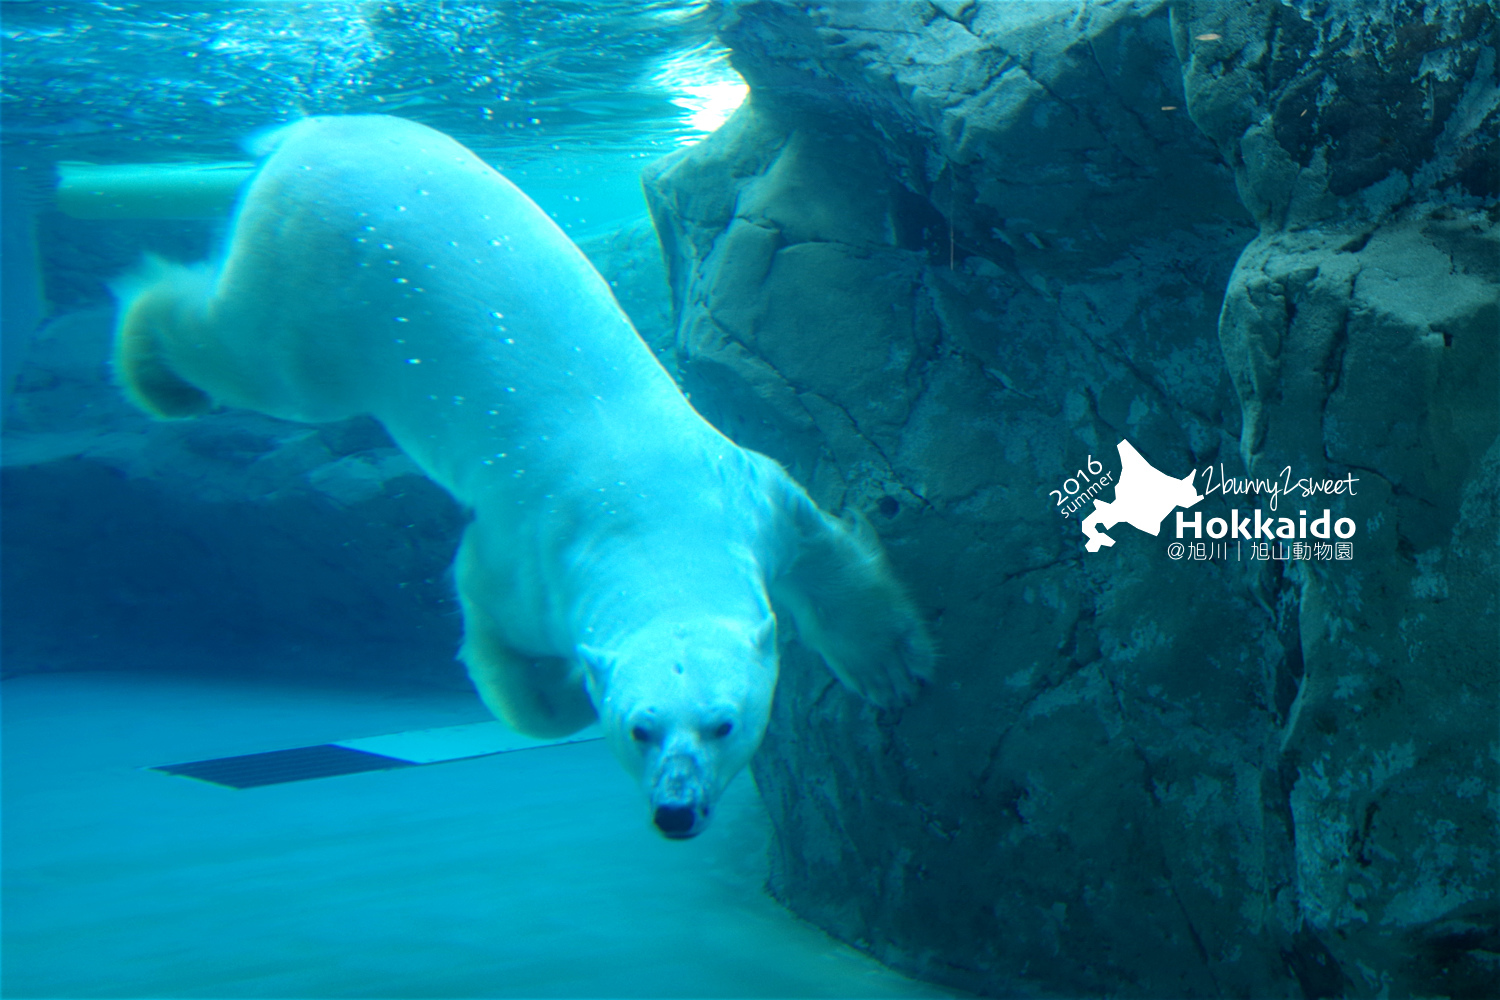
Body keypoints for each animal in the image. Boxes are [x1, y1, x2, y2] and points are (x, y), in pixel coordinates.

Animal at [111, 115, 933, 838]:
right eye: (639, 729)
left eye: (722, 724)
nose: (676, 810)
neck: (655, 518)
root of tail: (306, 135)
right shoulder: (531, 554)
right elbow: (492, 619)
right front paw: (558, 695)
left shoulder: (743, 492)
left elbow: (828, 554)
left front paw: (892, 667)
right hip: (319, 277)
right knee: (256, 357)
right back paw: (154, 367)